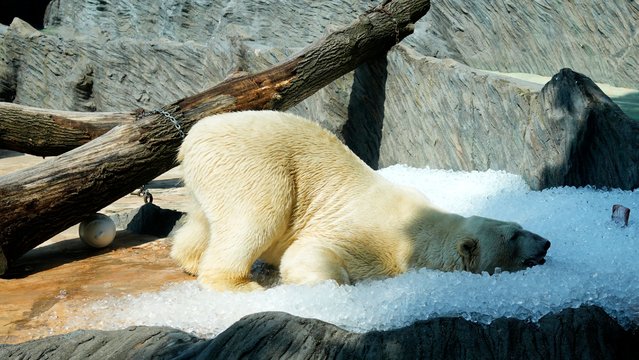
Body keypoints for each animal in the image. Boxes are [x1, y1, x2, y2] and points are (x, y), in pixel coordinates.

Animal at [171, 111, 552, 292]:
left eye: (521, 226)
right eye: (513, 236)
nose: (547, 242)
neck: (419, 229)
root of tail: (193, 137)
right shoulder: (372, 238)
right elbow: (309, 252)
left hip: (213, 175)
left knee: (208, 220)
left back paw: (190, 259)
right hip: (253, 164)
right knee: (257, 217)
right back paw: (239, 284)